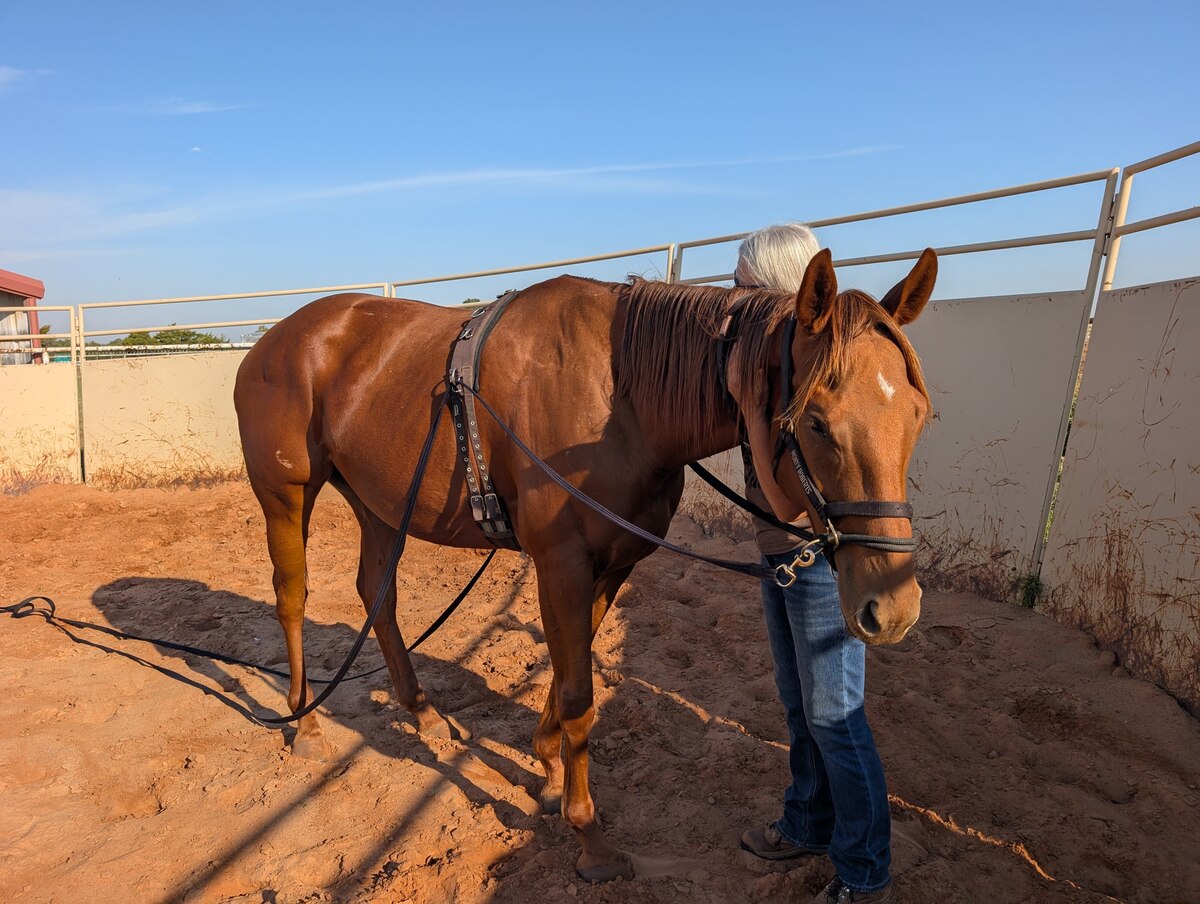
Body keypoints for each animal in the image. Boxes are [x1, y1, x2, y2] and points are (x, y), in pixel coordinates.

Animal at [233, 247, 936, 881]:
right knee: (292, 595)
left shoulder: (610, 566)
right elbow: (577, 695)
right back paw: (306, 720)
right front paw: (588, 836)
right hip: (286, 495)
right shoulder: (562, 565)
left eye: (918, 415)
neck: (617, 398)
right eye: (815, 422)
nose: (893, 608)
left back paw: (423, 713)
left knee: (377, 592)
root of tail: (276, 341)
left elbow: (572, 670)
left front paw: (545, 764)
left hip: (381, 505)